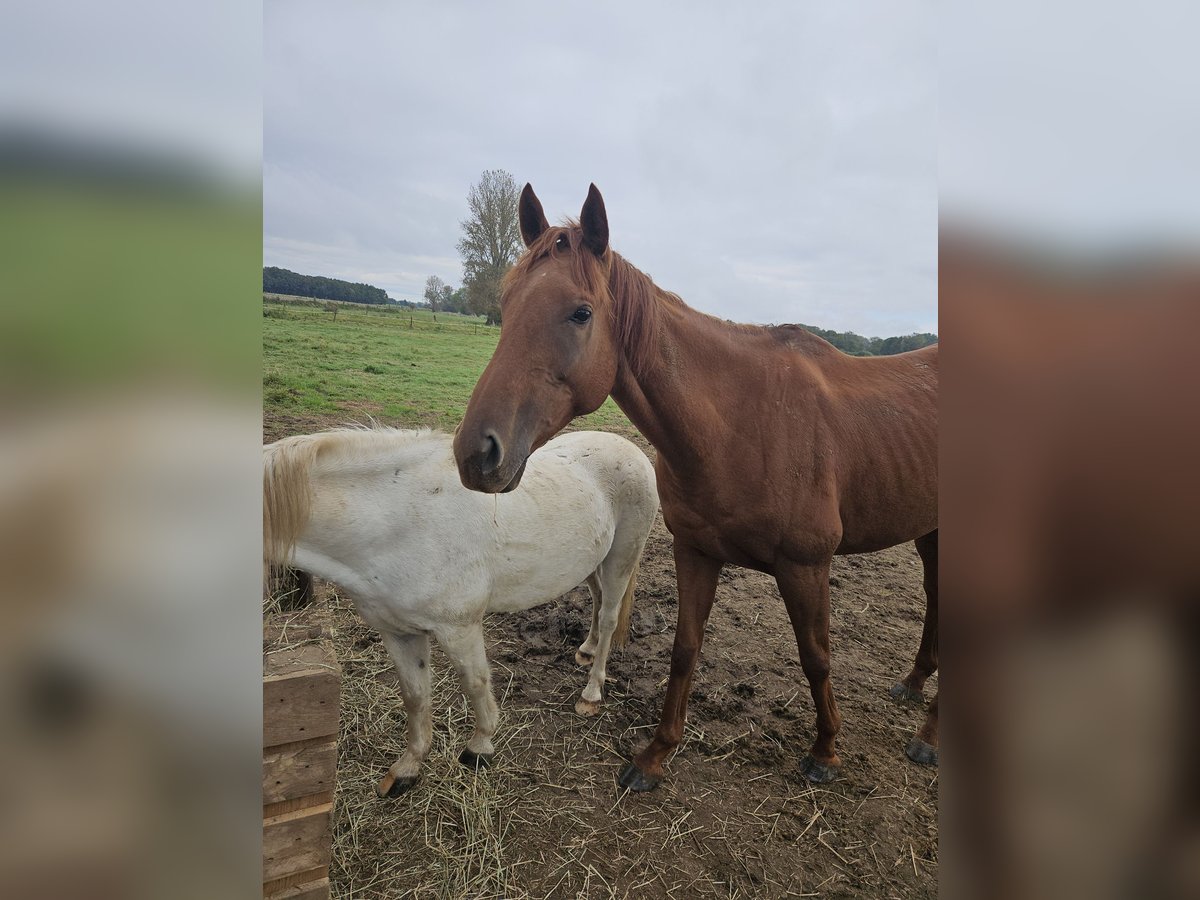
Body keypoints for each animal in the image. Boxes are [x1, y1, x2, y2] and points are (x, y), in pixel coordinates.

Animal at [264, 427, 657, 792]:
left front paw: (479, 748)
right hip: (591, 561)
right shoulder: (397, 632)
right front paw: (406, 769)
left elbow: (475, 683)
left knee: (609, 617)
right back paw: (586, 650)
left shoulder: (459, 628)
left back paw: (591, 694)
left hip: (622, 557)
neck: (396, 521)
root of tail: (630, 449)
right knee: (597, 600)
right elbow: (415, 696)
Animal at [453, 184, 931, 787]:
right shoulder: (696, 551)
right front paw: (655, 754)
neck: (745, 423)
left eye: (581, 313)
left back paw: (927, 738)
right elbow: (684, 649)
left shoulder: (807, 566)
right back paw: (913, 687)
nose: (476, 453)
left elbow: (816, 657)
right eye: (508, 304)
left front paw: (825, 751)